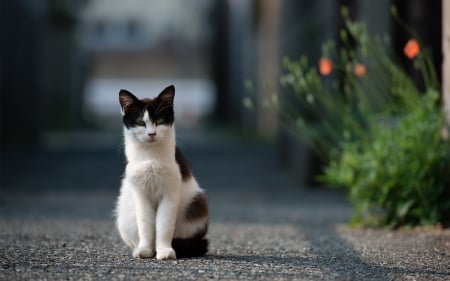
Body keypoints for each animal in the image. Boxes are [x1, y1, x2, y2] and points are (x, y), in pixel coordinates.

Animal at [115, 84, 208, 260]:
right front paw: (145, 250)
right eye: (140, 123)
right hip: (124, 218)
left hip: (197, 203)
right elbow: (145, 223)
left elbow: (164, 224)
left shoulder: (170, 192)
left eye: (159, 121)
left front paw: (165, 251)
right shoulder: (141, 193)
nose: (152, 133)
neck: (151, 158)